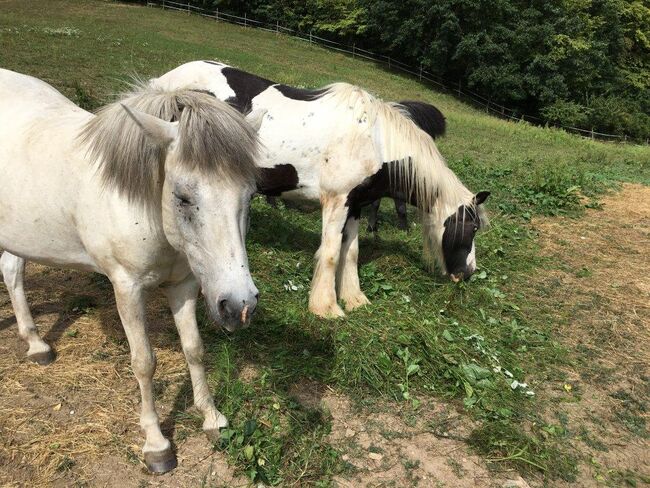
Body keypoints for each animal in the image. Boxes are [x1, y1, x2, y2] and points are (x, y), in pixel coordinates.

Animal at [0, 68, 266, 472]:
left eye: (249, 195)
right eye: (183, 197)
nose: (240, 306)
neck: (142, 204)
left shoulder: (183, 285)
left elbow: (194, 349)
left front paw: (212, 418)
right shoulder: (127, 287)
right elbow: (144, 362)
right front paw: (156, 444)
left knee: (12, 270)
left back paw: (36, 344)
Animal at [152, 61, 486, 318]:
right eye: (471, 228)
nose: (469, 272)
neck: (373, 139)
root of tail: (165, 80)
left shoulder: (355, 205)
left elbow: (350, 253)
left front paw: (354, 299)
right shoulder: (337, 202)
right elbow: (330, 253)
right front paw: (326, 307)